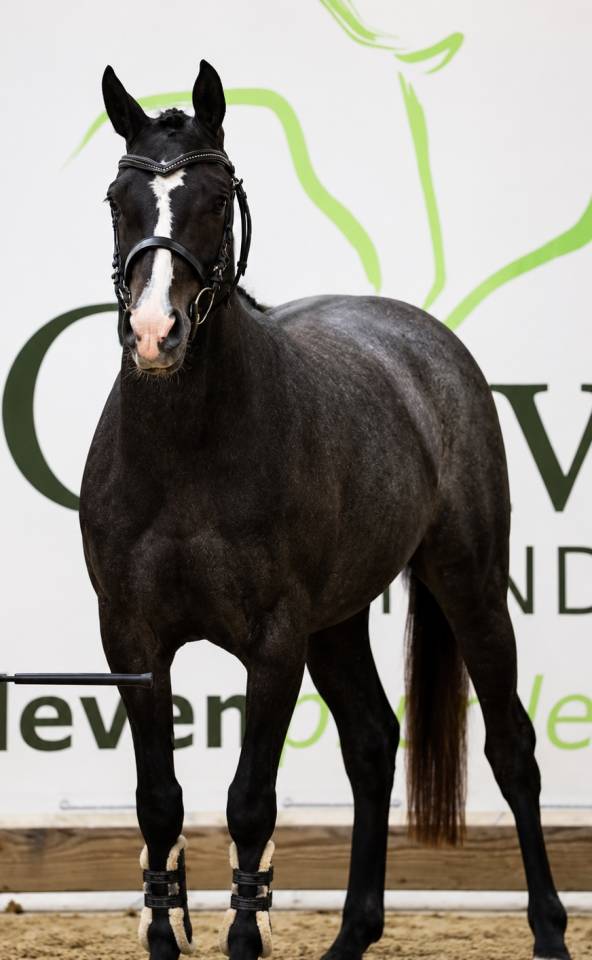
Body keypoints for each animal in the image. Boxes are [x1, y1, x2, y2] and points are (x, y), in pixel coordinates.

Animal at [79, 60, 570, 960]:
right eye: (117, 198)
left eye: (215, 196)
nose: (157, 333)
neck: (186, 455)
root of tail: (427, 345)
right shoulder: (133, 643)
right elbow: (159, 805)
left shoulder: (274, 646)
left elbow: (249, 805)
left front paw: (244, 938)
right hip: (336, 623)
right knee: (373, 744)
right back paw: (351, 935)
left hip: (470, 584)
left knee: (512, 748)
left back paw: (549, 931)